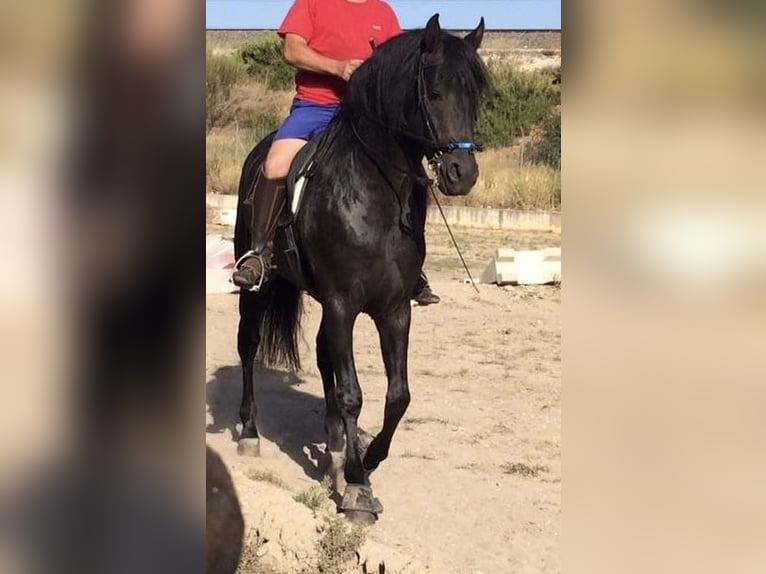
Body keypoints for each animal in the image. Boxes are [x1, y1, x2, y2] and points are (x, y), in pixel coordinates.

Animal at [231, 15, 488, 524]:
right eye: (433, 93)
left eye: (475, 95)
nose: (461, 173)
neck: (375, 195)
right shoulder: (342, 303)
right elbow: (352, 393)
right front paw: (356, 486)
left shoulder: (393, 310)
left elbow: (397, 396)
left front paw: (364, 459)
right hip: (260, 288)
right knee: (248, 344)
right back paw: (250, 432)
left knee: (323, 355)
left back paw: (333, 443)